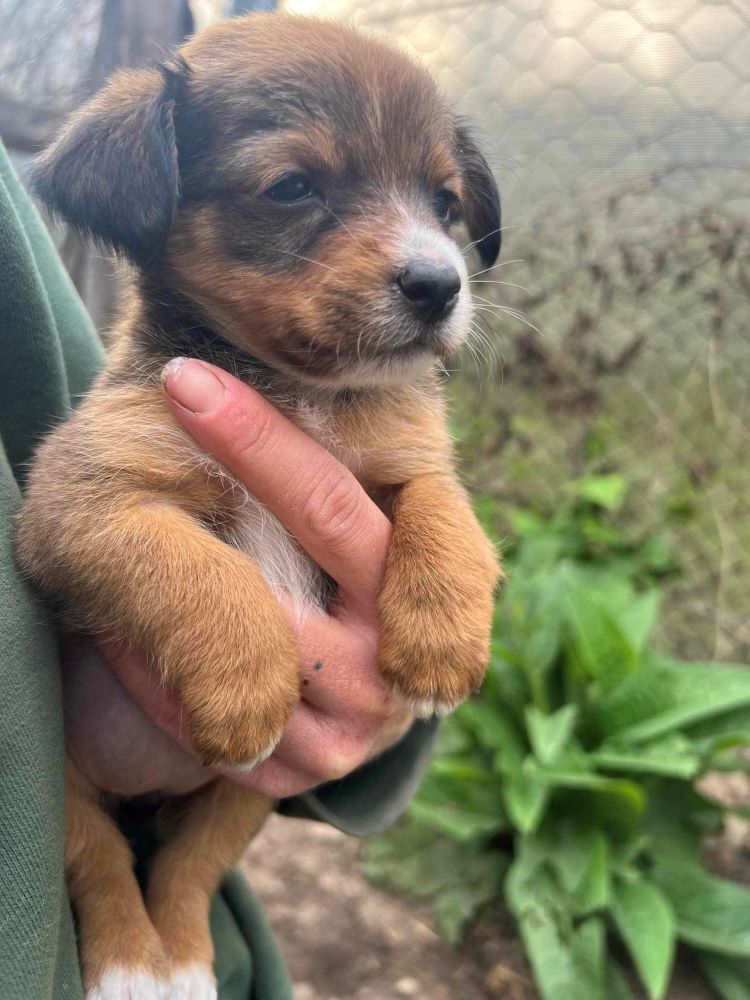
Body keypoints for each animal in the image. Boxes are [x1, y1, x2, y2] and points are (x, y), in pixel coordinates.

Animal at [14, 13, 502, 1000]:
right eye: (292, 187)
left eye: (443, 202)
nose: (441, 285)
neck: (298, 394)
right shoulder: (79, 501)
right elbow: (197, 568)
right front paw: (246, 680)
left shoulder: (404, 458)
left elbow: (446, 506)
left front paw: (442, 637)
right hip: (81, 788)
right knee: (104, 864)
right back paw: (134, 963)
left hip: (244, 798)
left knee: (185, 872)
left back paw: (183, 956)